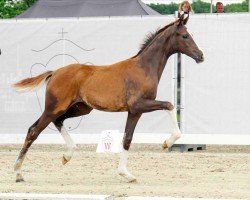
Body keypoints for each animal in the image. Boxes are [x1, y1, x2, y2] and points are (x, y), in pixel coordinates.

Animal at [11, 14, 204, 183]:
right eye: (185, 35)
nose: (201, 55)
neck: (143, 68)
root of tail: (54, 72)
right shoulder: (139, 105)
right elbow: (169, 105)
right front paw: (166, 143)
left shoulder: (134, 111)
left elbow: (127, 139)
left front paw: (126, 174)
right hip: (54, 108)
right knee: (33, 131)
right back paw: (18, 173)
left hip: (80, 109)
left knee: (58, 121)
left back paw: (67, 155)